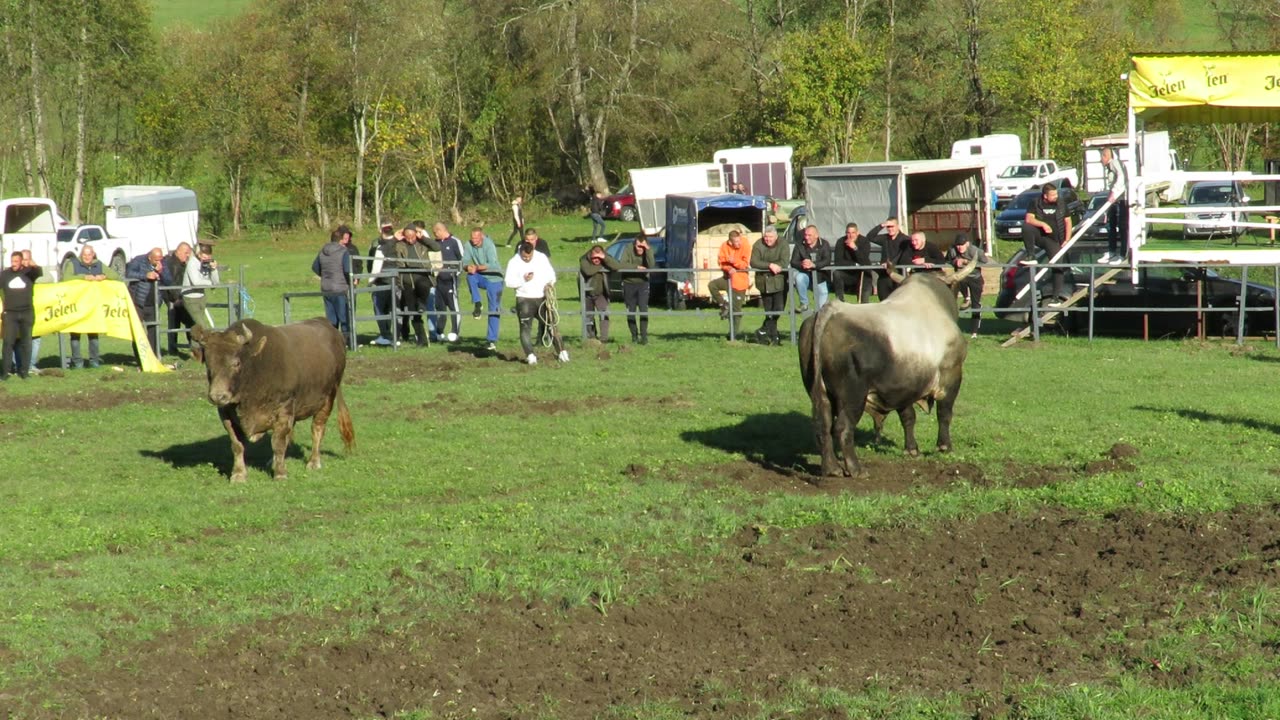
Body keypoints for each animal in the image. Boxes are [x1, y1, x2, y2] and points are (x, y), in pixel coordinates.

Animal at [189, 316, 353, 479]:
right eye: (208, 364)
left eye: (236, 363)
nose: (217, 396)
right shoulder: (225, 413)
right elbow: (237, 444)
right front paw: (239, 474)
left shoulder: (284, 409)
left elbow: (278, 442)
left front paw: (280, 474)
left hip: (327, 398)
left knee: (317, 429)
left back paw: (314, 462)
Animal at [793, 263, 972, 476]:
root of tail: (831, 311)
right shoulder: (951, 375)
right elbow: (944, 414)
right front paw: (944, 446)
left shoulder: (904, 385)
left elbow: (908, 417)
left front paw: (912, 449)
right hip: (852, 396)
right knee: (843, 428)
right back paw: (855, 469)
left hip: (820, 391)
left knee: (824, 426)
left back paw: (832, 468)